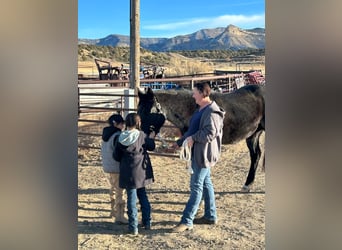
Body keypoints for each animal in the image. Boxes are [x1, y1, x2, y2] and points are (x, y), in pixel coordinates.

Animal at [136, 84, 264, 191]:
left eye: (148, 112)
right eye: (139, 111)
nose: (142, 139)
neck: (190, 108)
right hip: (253, 135)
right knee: (256, 155)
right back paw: (248, 184)